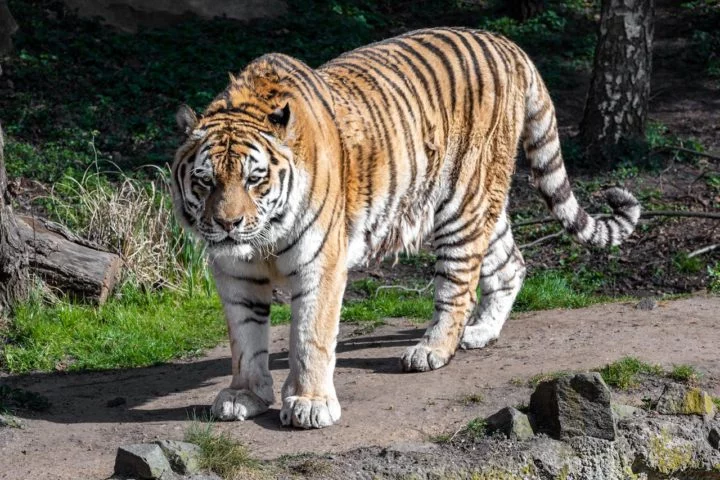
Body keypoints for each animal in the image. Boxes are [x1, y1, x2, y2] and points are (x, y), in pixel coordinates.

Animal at [170, 28, 640, 430]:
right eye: (206, 181)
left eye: (255, 179)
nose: (228, 224)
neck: (261, 241)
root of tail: (506, 43)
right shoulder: (235, 275)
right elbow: (244, 340)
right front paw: (244, 396)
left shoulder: (320, 265)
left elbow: (310, 336)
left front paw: (310, 404)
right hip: (481, 203)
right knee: (512, 264)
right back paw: (481, 333)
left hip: (461, 203)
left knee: (458, 287)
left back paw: (432, 350)